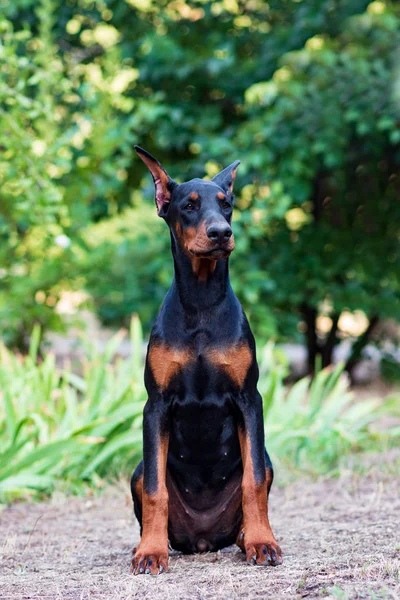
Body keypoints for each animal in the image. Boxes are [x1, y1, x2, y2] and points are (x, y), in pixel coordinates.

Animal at [130, 144, 282, 572]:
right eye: (189, 206)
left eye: (226, 204)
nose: (221, 233)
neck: (200, 303)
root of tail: (202, 540)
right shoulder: (156, 405)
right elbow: (155, 489)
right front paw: (150, 552)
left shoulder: (249, 399)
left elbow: (253, 481)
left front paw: (263, 543)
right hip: (136, 470)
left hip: (268, 459)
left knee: (258, 477)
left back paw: (249, 537)